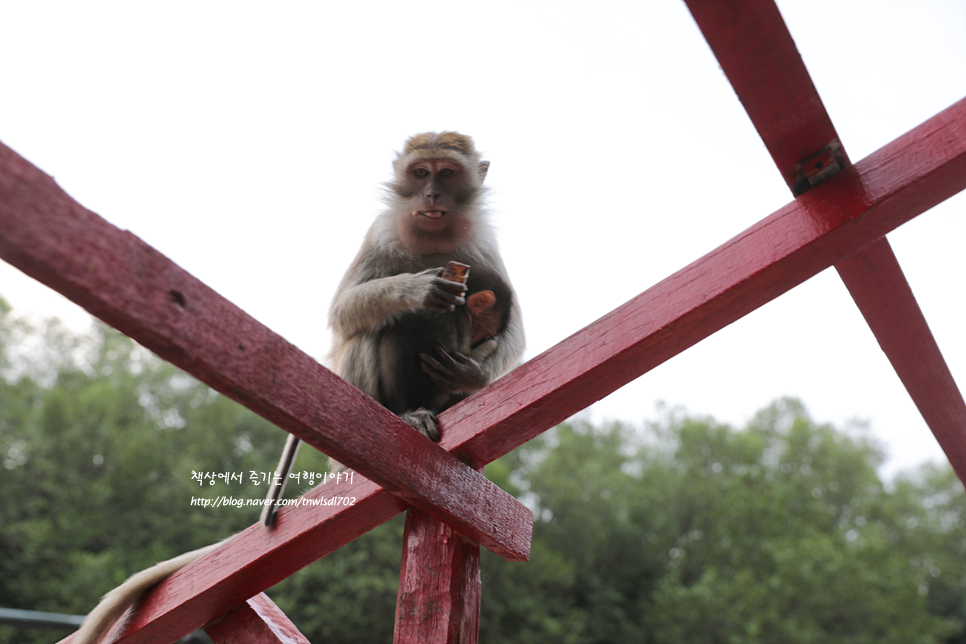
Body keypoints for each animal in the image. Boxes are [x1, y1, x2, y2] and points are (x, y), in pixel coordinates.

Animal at [72, 132, 524, 644]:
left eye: (446, 174)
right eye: (420, 173)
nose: (431, 196)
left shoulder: (482, 243)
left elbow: (513, 324)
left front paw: (472, 372)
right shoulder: (383, 232)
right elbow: (347, 311)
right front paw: (417, 289)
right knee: (377, 328)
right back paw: (406, 411)